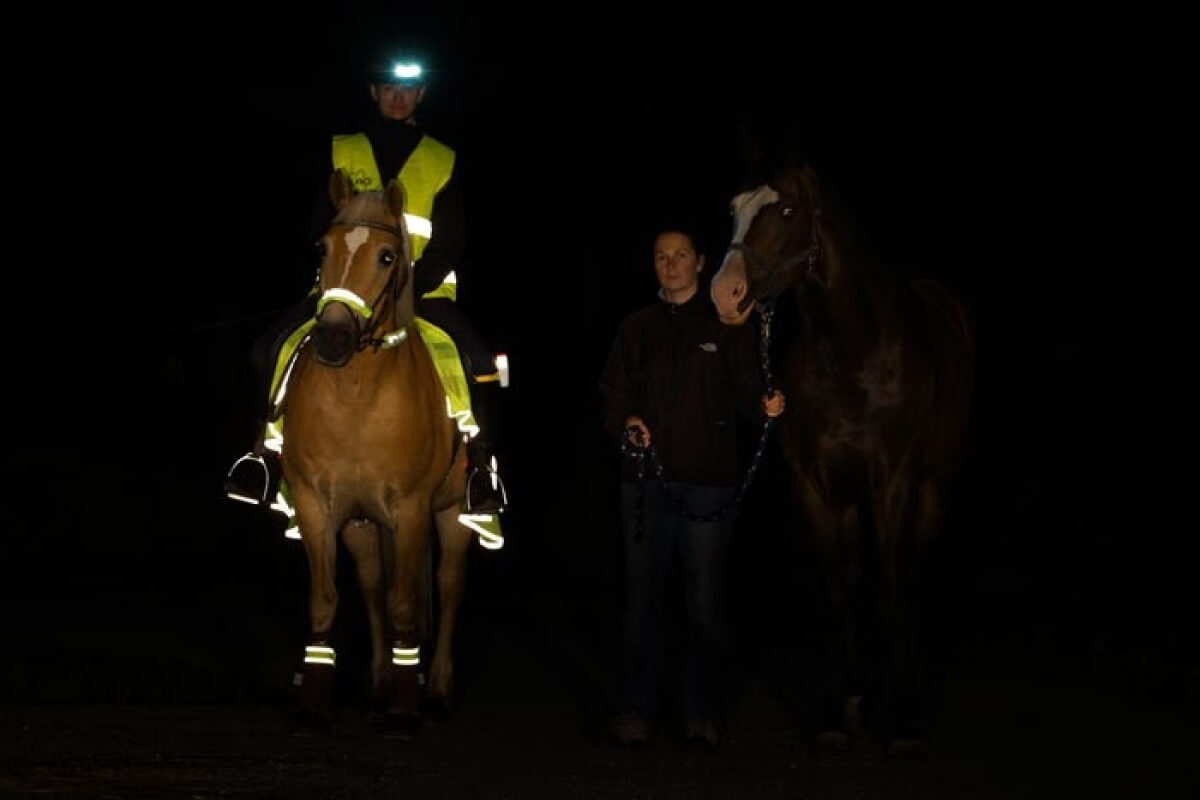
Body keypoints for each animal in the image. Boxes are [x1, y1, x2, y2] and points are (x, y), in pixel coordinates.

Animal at [279, 172, 472, 734]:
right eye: (322, 249)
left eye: (388, 256)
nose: (332, 337)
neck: (358, 395)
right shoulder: (316, 506)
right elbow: (326, 602)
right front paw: (315, 705)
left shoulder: (410, 510)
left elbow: (406, 605)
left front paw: (405, 712)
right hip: (362, 524)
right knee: (371, 587)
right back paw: (380, 680)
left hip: (454, 513)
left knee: (448, 586)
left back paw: (438, 688)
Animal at [710, 163, 974, 753]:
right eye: (734, 209)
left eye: (787, 212)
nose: (724, 293)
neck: (854, 355)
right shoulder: (814, 487)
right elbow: (835, 594)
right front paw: (837, 716)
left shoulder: (894, 484)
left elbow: (893, 591)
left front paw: (904, 722)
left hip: (933, 488)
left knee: (910, 579)